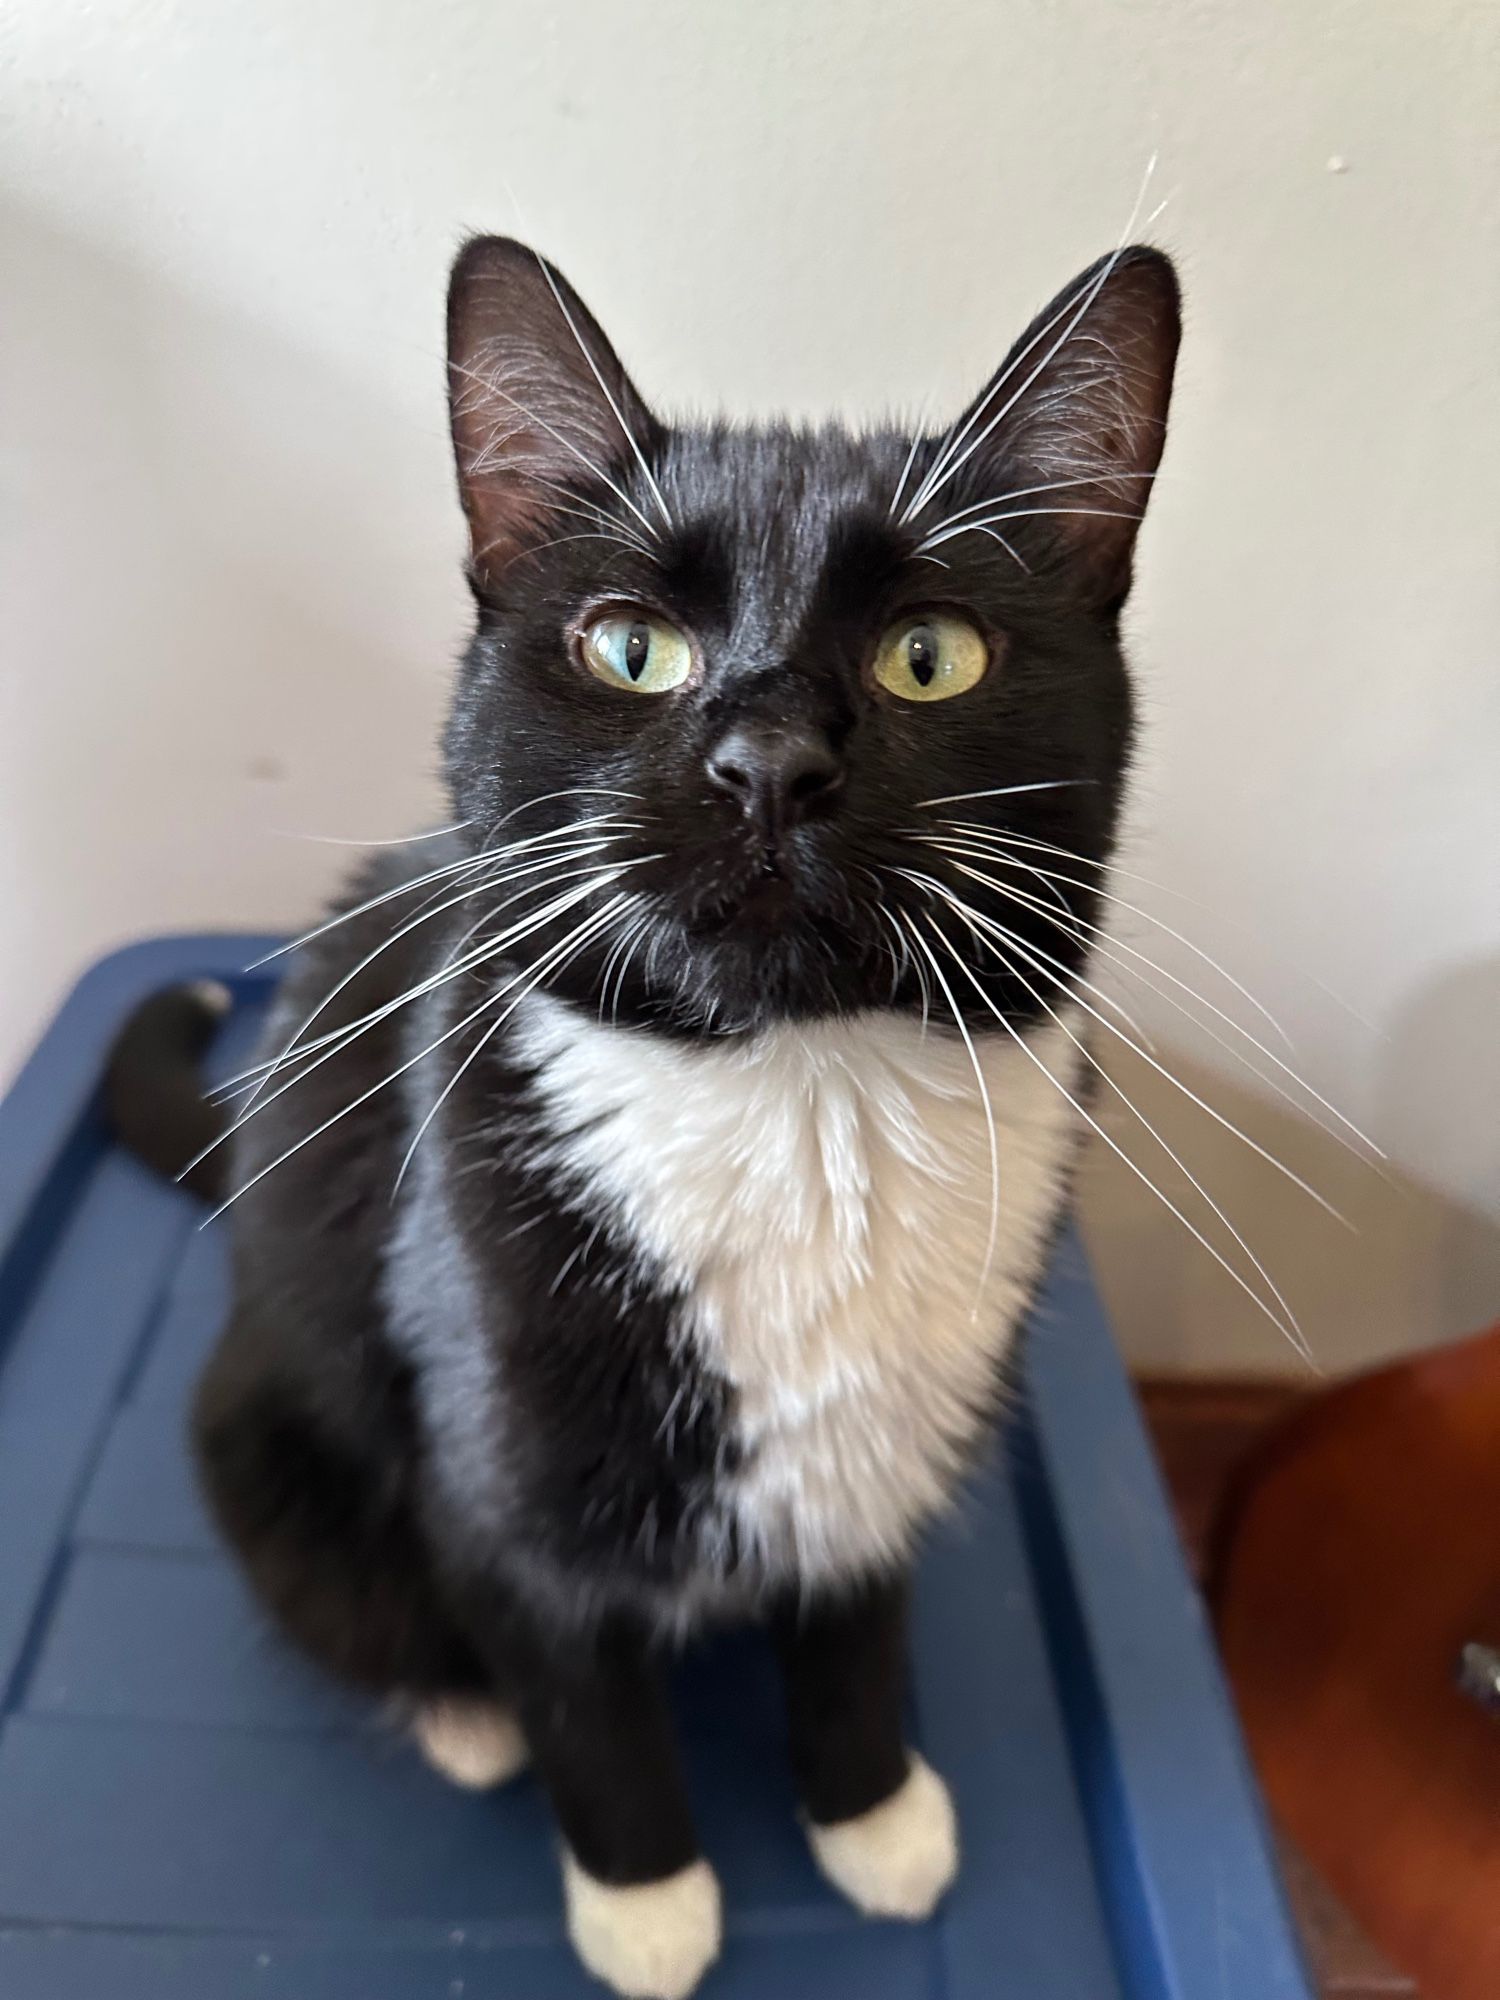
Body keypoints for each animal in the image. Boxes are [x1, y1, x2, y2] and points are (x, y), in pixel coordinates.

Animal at [108, 238, 1184, 2000]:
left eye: (930, 654)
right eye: (632, 651)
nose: (770, 762)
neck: (797, 1096)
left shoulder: (893, 1428)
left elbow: (856, 1621)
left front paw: (870, 1806)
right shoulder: (490, 1447)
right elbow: (580, 1689)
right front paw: (648, 1900)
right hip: (270, 1421)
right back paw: (463, 1715)